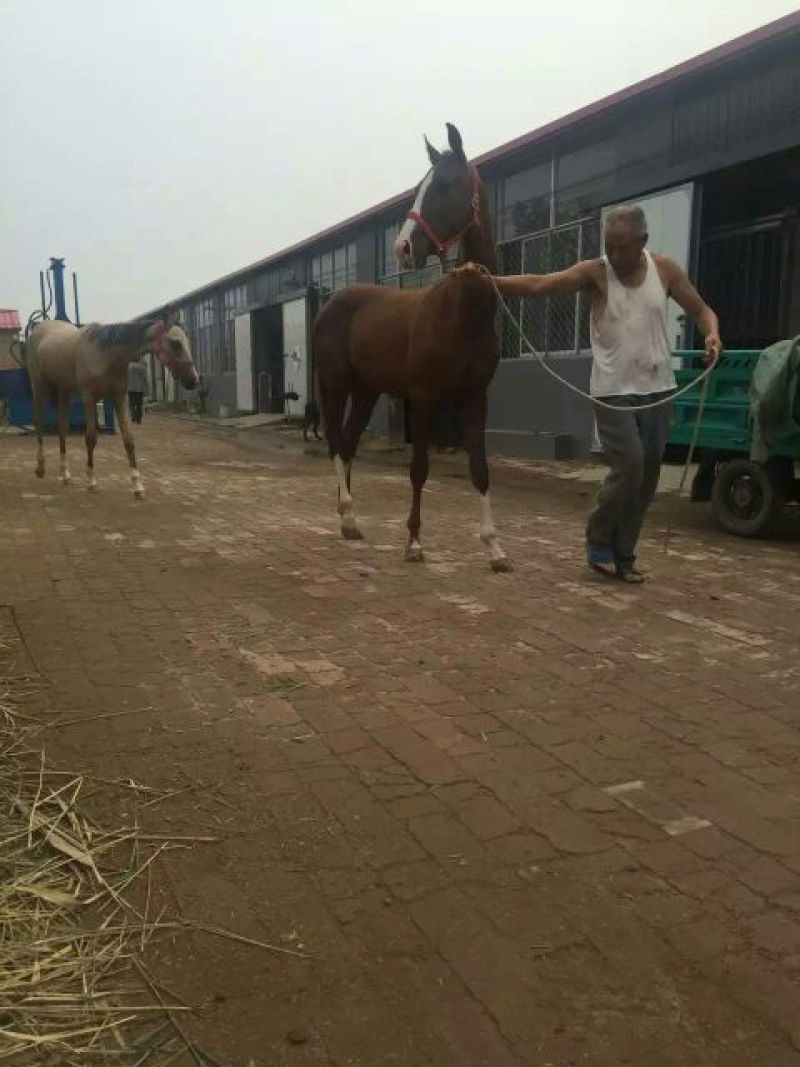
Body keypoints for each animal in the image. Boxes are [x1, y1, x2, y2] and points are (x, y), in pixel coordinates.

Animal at [24, 313, 198, 498]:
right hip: (39, 386)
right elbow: (90, 439)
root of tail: (39, 328)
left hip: (65, 390)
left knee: (62, 428)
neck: (106, 353)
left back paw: (65, 474)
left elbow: (129, 440)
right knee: (39, 422)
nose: (193, 380)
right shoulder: (89, 398)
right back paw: (40, 468)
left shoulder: (119, 397)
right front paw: (91, 481)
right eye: (176, 343)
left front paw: (137, 485)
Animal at [312, 123, 511, 572]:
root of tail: (330, 302)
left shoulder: (476, 396)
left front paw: (494, 548)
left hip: (366, 391)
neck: (462, 314)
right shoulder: (423, 396)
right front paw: (415, 543)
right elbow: (419, 468)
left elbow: (480, 469)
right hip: (336, 384)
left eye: (445, 185)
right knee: (335, 442)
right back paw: (346, 512)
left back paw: (350, 522)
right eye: (419, 188)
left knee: (348, 442)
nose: (401, 249)